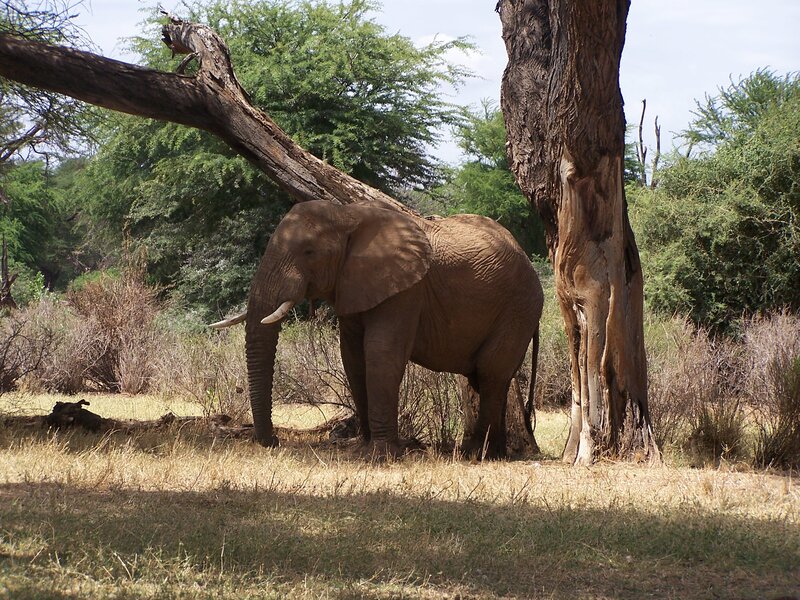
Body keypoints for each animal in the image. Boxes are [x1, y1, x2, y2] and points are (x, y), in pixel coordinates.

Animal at [211, 200, 543, 459]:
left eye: (308, 252)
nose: (274, 441)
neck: (347, 215)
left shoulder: (407, 290)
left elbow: (381, 353)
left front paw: (381, 455)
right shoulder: (353, 284)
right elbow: (353, 357)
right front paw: (364, 447)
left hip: (519, 309)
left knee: (490, 374)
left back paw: (478, 455)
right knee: (485, 377)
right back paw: (491, 453)